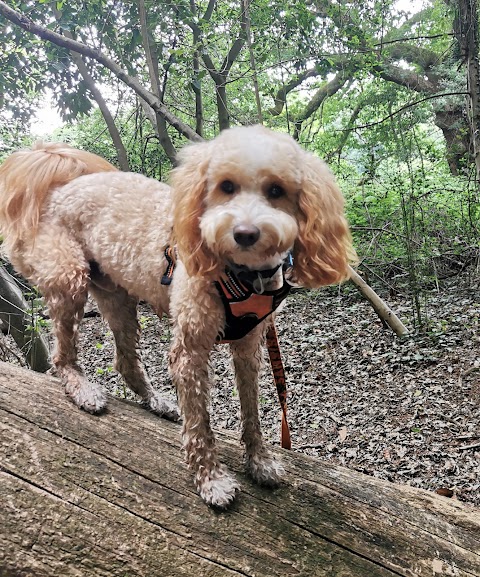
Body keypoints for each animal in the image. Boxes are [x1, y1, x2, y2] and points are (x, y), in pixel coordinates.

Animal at [0, 125, 352, 504]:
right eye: (226, 186)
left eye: (276, 190)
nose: (244, 233)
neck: (243, 275)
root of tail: (58, 189)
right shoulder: (190, 350)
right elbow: (199, 422)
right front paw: (210, 479)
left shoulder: (249, 346)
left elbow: (252, 410)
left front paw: (259, 461)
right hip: (68, 277)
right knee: (61, 355)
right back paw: (83, 390)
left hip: (117, 297)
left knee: (125, 360)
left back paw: (155, 400)